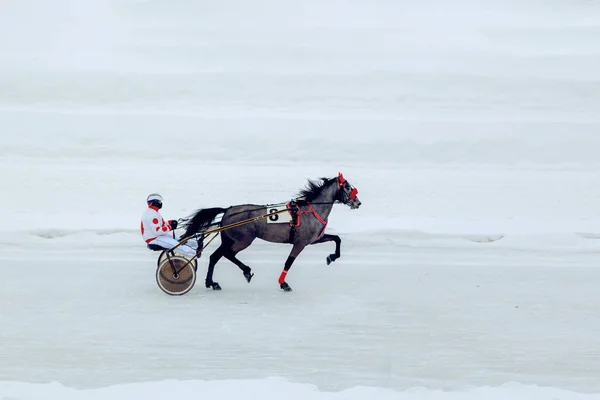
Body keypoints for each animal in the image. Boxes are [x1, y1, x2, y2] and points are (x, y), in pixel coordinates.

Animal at [180, 172, 360, 290]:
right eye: (347, 187)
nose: (358, 202)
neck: (311, 210)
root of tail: (228, 211)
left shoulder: (314, 239)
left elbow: (337, 238)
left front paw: (332, 257)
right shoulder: (300, 243)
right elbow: (289, 262)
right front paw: (283, 283)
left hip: (230, 239)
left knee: (215, 256)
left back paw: (212, 282)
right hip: (242, 240)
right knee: (226, 254)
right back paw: (244, 272)